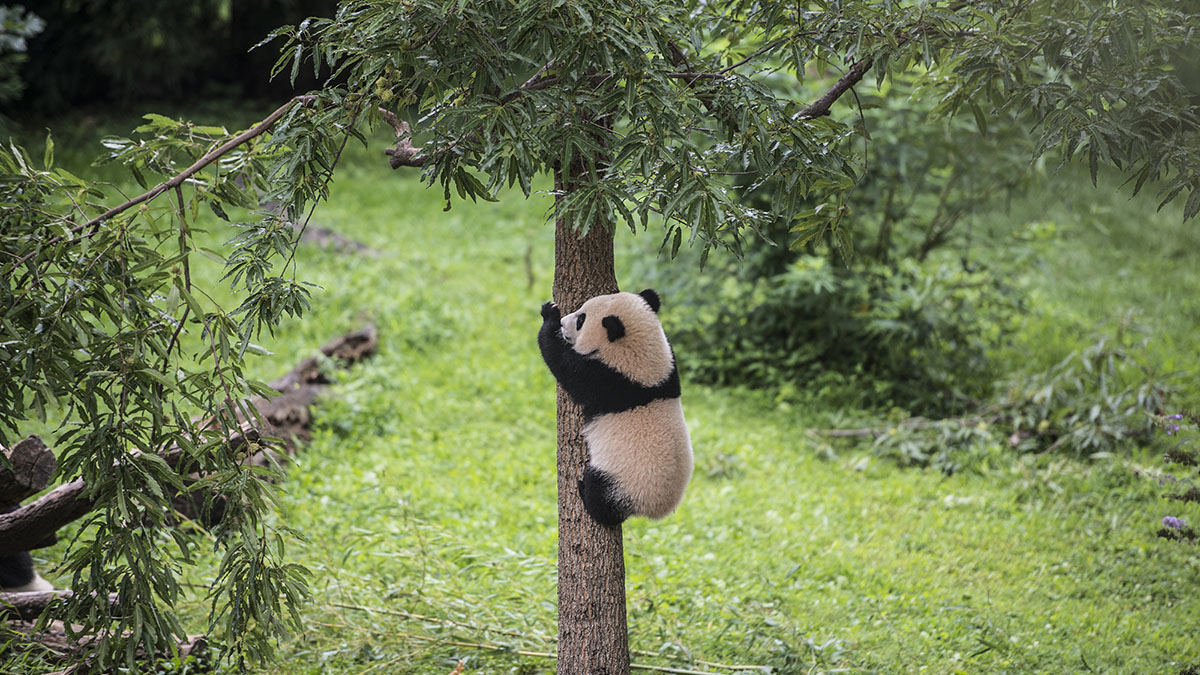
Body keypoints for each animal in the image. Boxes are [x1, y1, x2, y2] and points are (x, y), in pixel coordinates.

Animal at [537, 285, 696, 523]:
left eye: (581, 320)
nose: (564, 322)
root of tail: (657, 510)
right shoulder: (670, 369)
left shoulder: (606, 378)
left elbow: (561, 362)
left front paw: (549, 316)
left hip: (620, 481)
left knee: (602, 496)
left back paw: (586, 493)